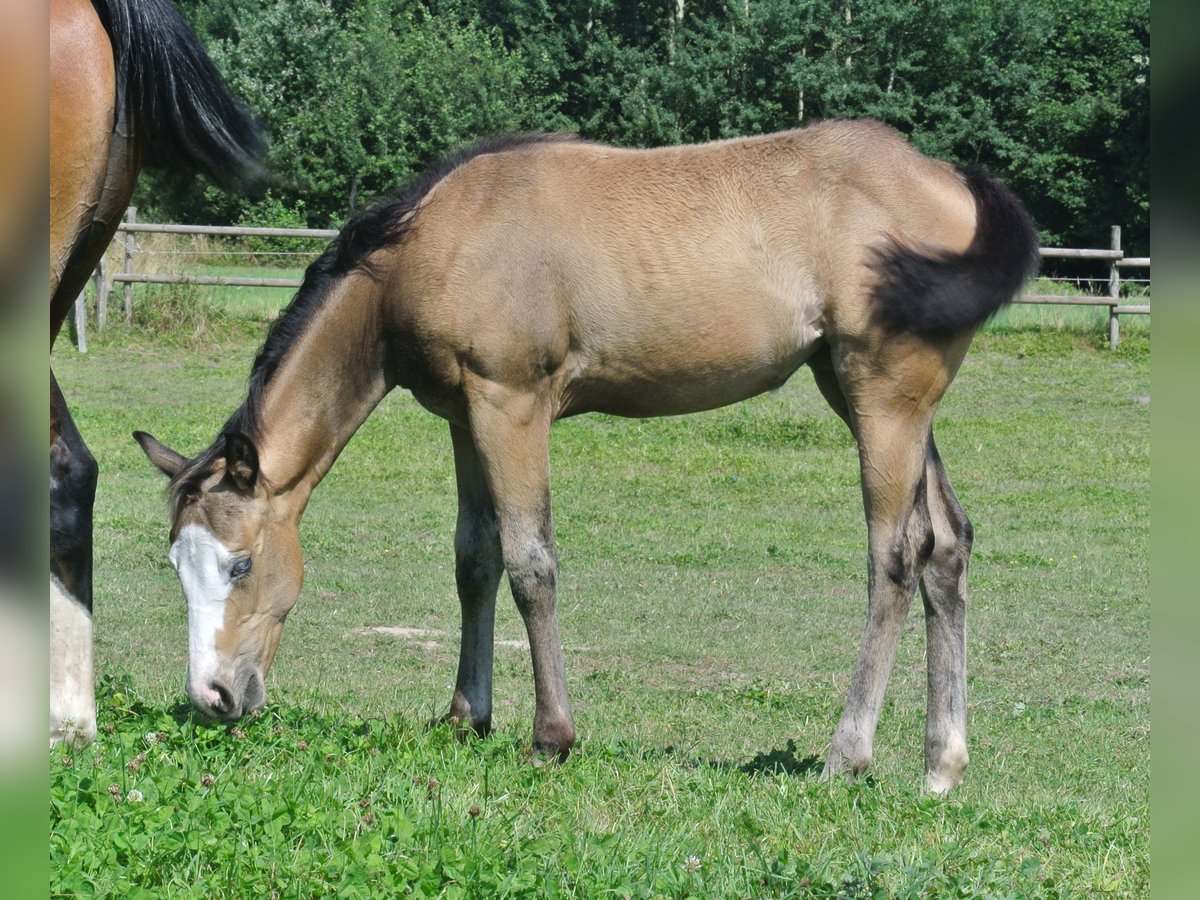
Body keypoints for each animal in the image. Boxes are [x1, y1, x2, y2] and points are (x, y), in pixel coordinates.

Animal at [136, 123, 1041, 792]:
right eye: (177, 565)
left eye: (243, 564)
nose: (212, 697)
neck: (433, 243)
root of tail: (951, 181)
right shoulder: (465, 418)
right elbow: (475, 559)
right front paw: (466, 717)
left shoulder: (512, 405)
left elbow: (531, 563)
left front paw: (551, 736)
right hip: (877, 400)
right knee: (948, 546)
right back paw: (940, 767)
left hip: (882, 397)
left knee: (895, 557)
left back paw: (846, 754)